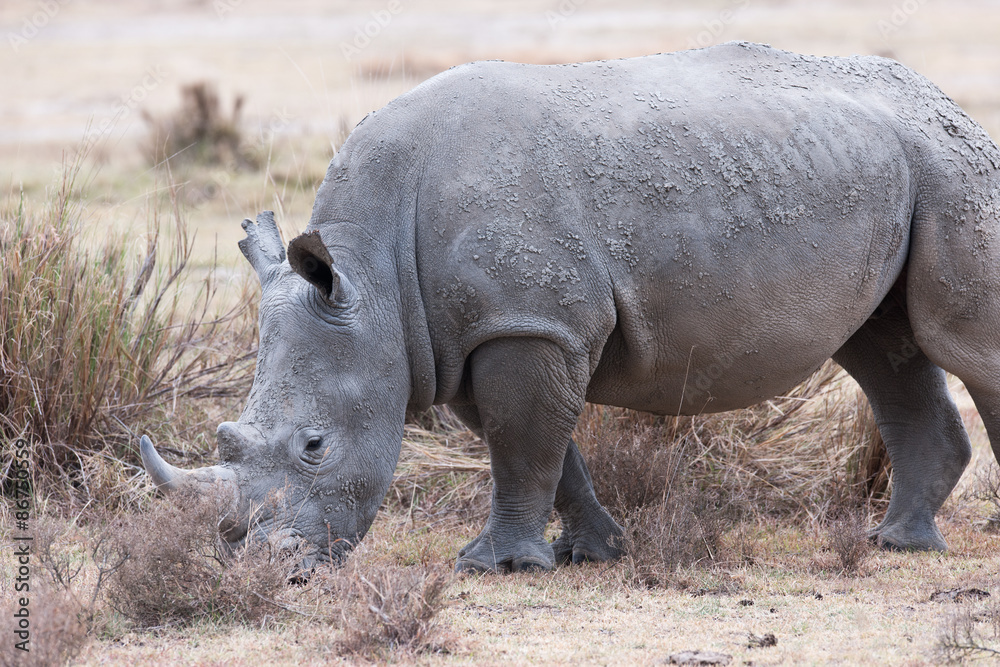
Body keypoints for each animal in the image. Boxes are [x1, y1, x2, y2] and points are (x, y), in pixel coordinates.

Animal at [140, 42, 1000, 572]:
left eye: (315, 445)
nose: (268, 570)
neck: (370, 275)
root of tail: (944, 100)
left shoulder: (525, 322)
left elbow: (524, 445)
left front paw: (496, 565)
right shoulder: (477, 334)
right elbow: (543, 450)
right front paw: (592, 552)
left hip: (953, 164)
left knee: (957, 344)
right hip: (896, 167)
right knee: (884, 349)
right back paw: (898, 542)